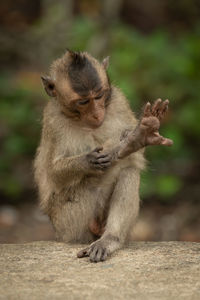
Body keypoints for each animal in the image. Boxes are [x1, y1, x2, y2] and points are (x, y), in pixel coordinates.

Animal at [33, 49, 173, 262]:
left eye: (99, 96)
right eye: (83, 102)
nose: (97, 114)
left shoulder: (119, 100)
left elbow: (137, 155)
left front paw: (138, 137)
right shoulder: (53, 120)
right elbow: (54, 173)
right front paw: (89, 160)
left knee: (128, 171)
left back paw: (110, 239)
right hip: (69, 222)